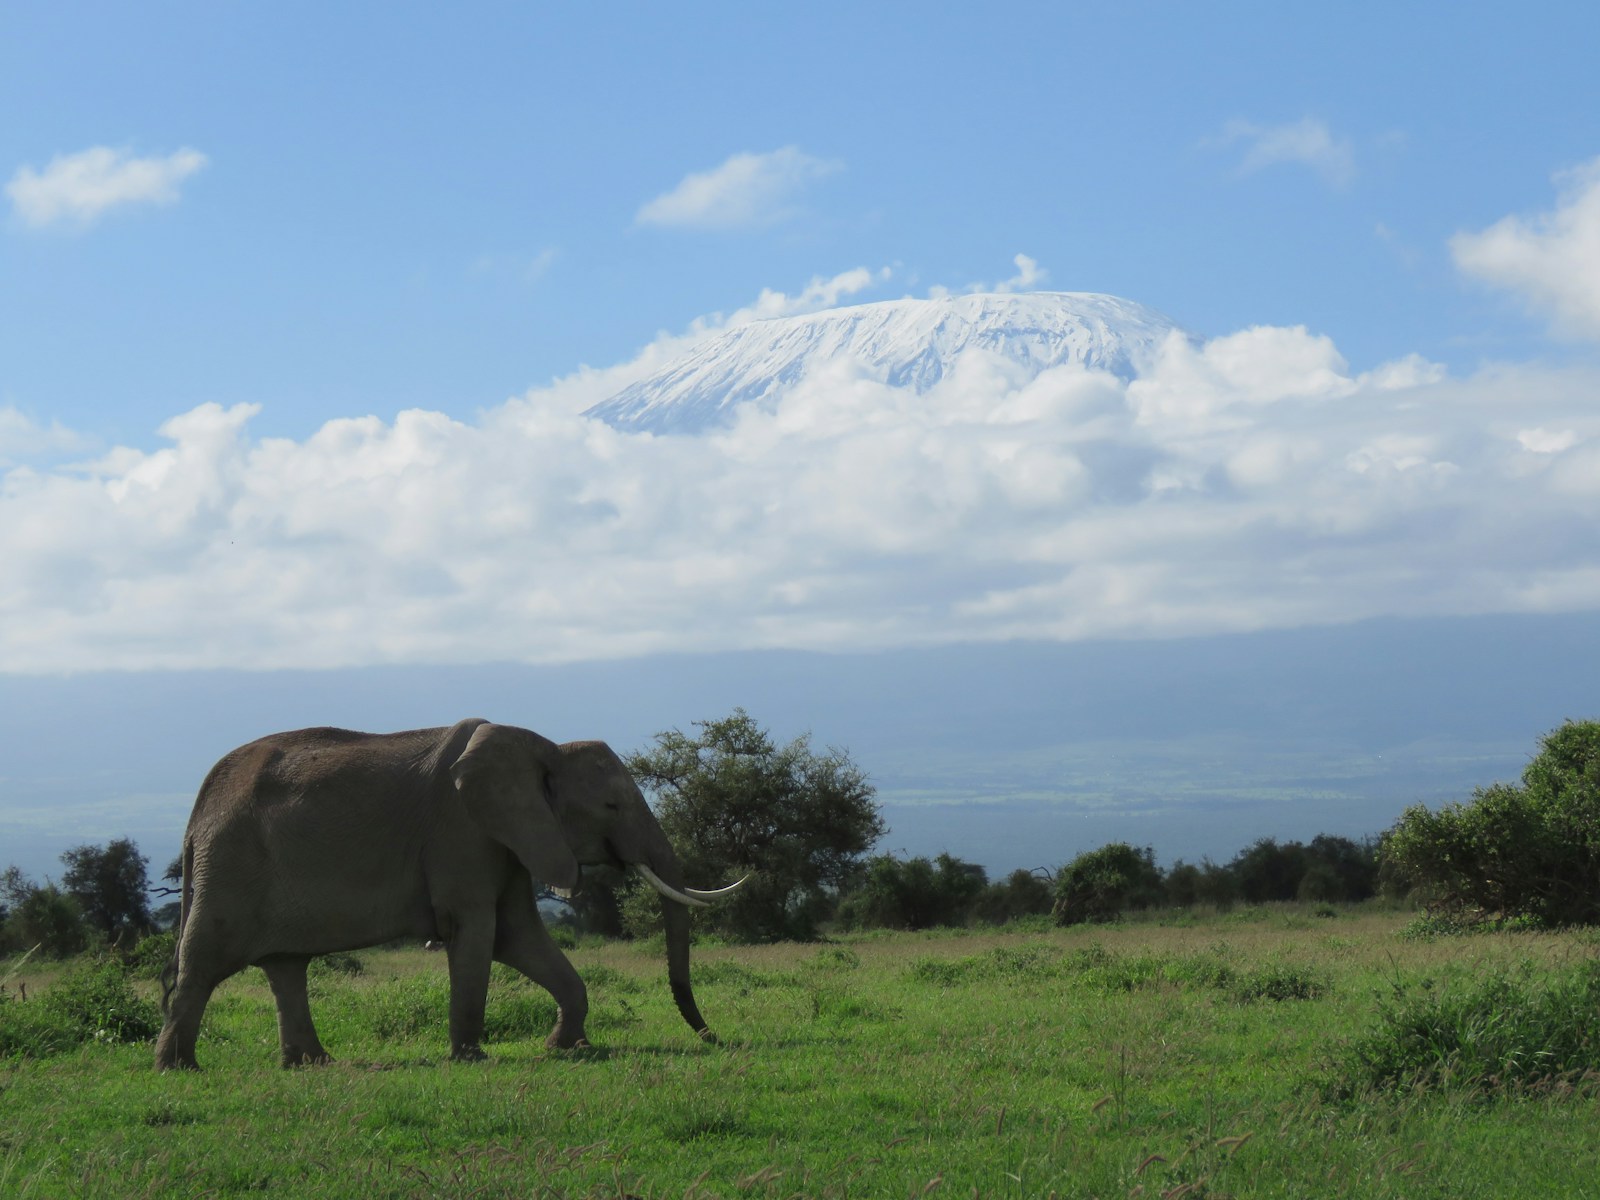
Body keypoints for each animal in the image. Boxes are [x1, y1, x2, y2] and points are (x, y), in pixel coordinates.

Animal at [153, 718, 742, 1070]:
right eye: (612, 807)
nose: (713, 1037)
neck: (543, 749)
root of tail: (197, 810)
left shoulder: (508, 839)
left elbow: (518, 937)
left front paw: (566, 1047)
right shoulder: (464, 832)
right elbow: (479, 931)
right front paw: (472, 1059)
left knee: (285, 966)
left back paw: (312, 1064)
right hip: (230, 864)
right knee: (204, 963)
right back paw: (177, 1068)